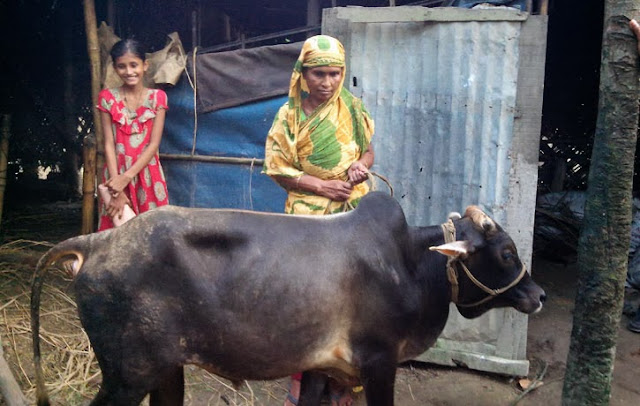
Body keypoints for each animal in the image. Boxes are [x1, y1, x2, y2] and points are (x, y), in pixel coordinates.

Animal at [31, 191, 544, 406]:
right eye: (506, 251)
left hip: (164, 370)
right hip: (127, 375)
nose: (538, 295)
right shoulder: (379, 363)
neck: (412, 263)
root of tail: (98, 243)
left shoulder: (322, 367)